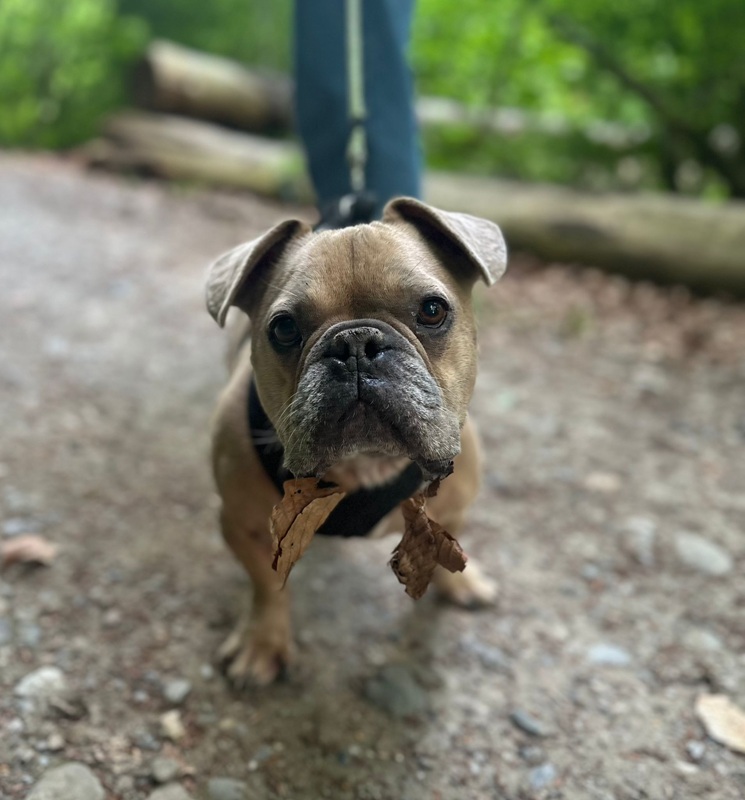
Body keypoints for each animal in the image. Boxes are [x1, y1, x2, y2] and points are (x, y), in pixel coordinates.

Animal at [205, 197, 507, 686]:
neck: (365, 465)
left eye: (432, 310)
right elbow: (267, 587)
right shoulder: (241, 526)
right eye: (284, 329)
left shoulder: (454, 508)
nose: (355, 344)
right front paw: (263, 644)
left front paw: (460, 582)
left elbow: (452, 546)